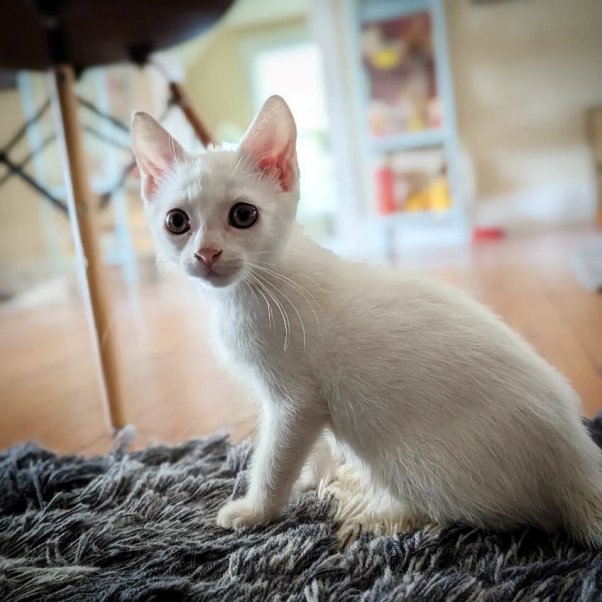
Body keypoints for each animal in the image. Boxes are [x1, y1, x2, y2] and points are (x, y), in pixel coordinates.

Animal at [131, 96, 600, 548]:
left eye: (243, 215)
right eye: (177, 221)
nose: (206, 253)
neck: (252, 289)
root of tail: (578, 459)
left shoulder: (295, 402)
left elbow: (275, 458)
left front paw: (258, 511)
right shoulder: (307, 408)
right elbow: (312, 446)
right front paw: (310, 480)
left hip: (414, 464)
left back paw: (381, 514)